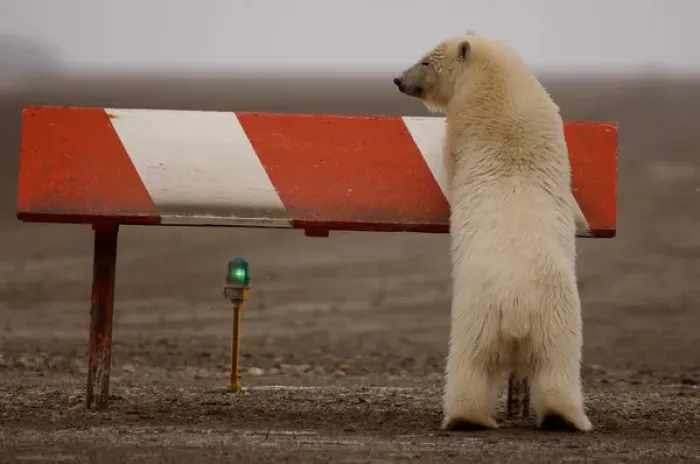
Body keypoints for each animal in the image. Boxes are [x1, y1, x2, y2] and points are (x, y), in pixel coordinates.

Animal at [393, 32, 592, 432]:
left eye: (425, 61)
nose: (398, 79)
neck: (503, 93)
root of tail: (518, 308)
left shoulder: (466, 122)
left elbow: (451, 156)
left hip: (478, 316)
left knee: (469, 365)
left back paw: (466, 417)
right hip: (557, 323)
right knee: (558, 369)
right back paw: (565, 417)